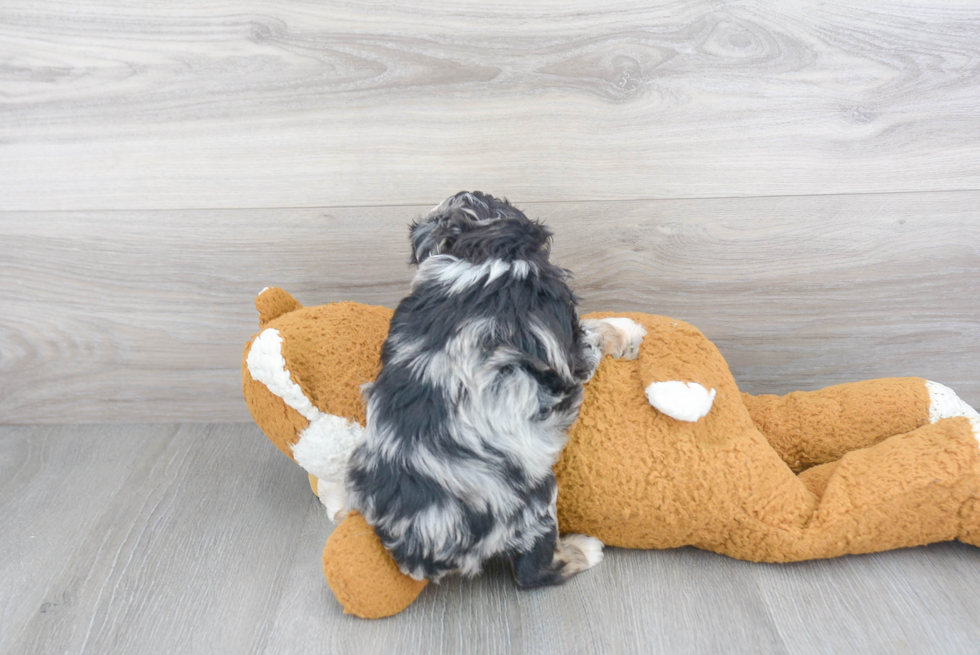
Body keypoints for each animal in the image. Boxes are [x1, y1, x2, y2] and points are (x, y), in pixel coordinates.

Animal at [348, 191, 648, 588]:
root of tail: (420, 546)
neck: (481, 253)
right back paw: (583, 550)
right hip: (533, 501)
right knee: (533, 571)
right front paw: (627, 332)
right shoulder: (567, 344)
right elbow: (594, 331)